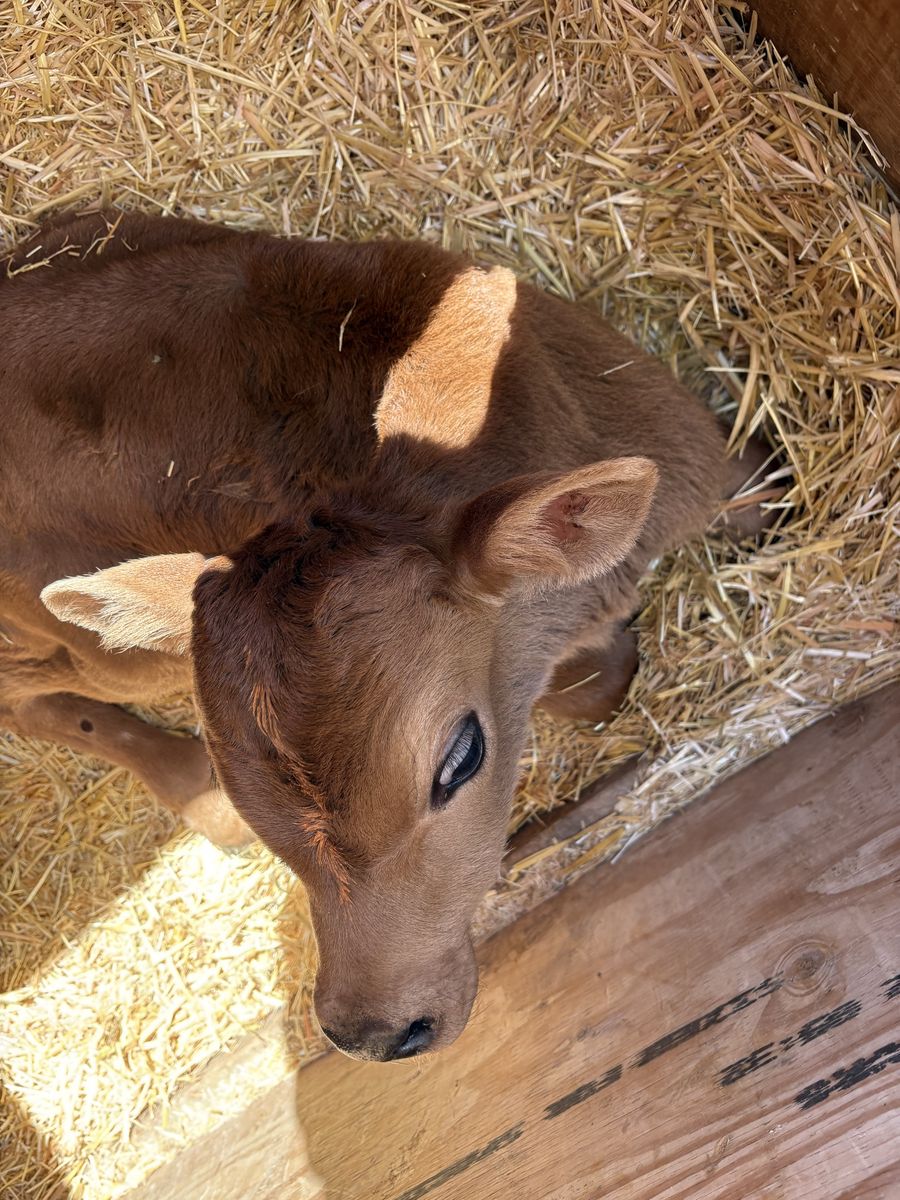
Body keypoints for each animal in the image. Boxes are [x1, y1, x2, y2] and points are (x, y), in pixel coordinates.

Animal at [0, 211, 771, 1061]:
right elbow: (595, 683)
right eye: (247, 788)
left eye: (461, 758)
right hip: (107, 656)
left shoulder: (694, 444)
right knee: (25, 692)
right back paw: (186, 785)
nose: (374, 1032)